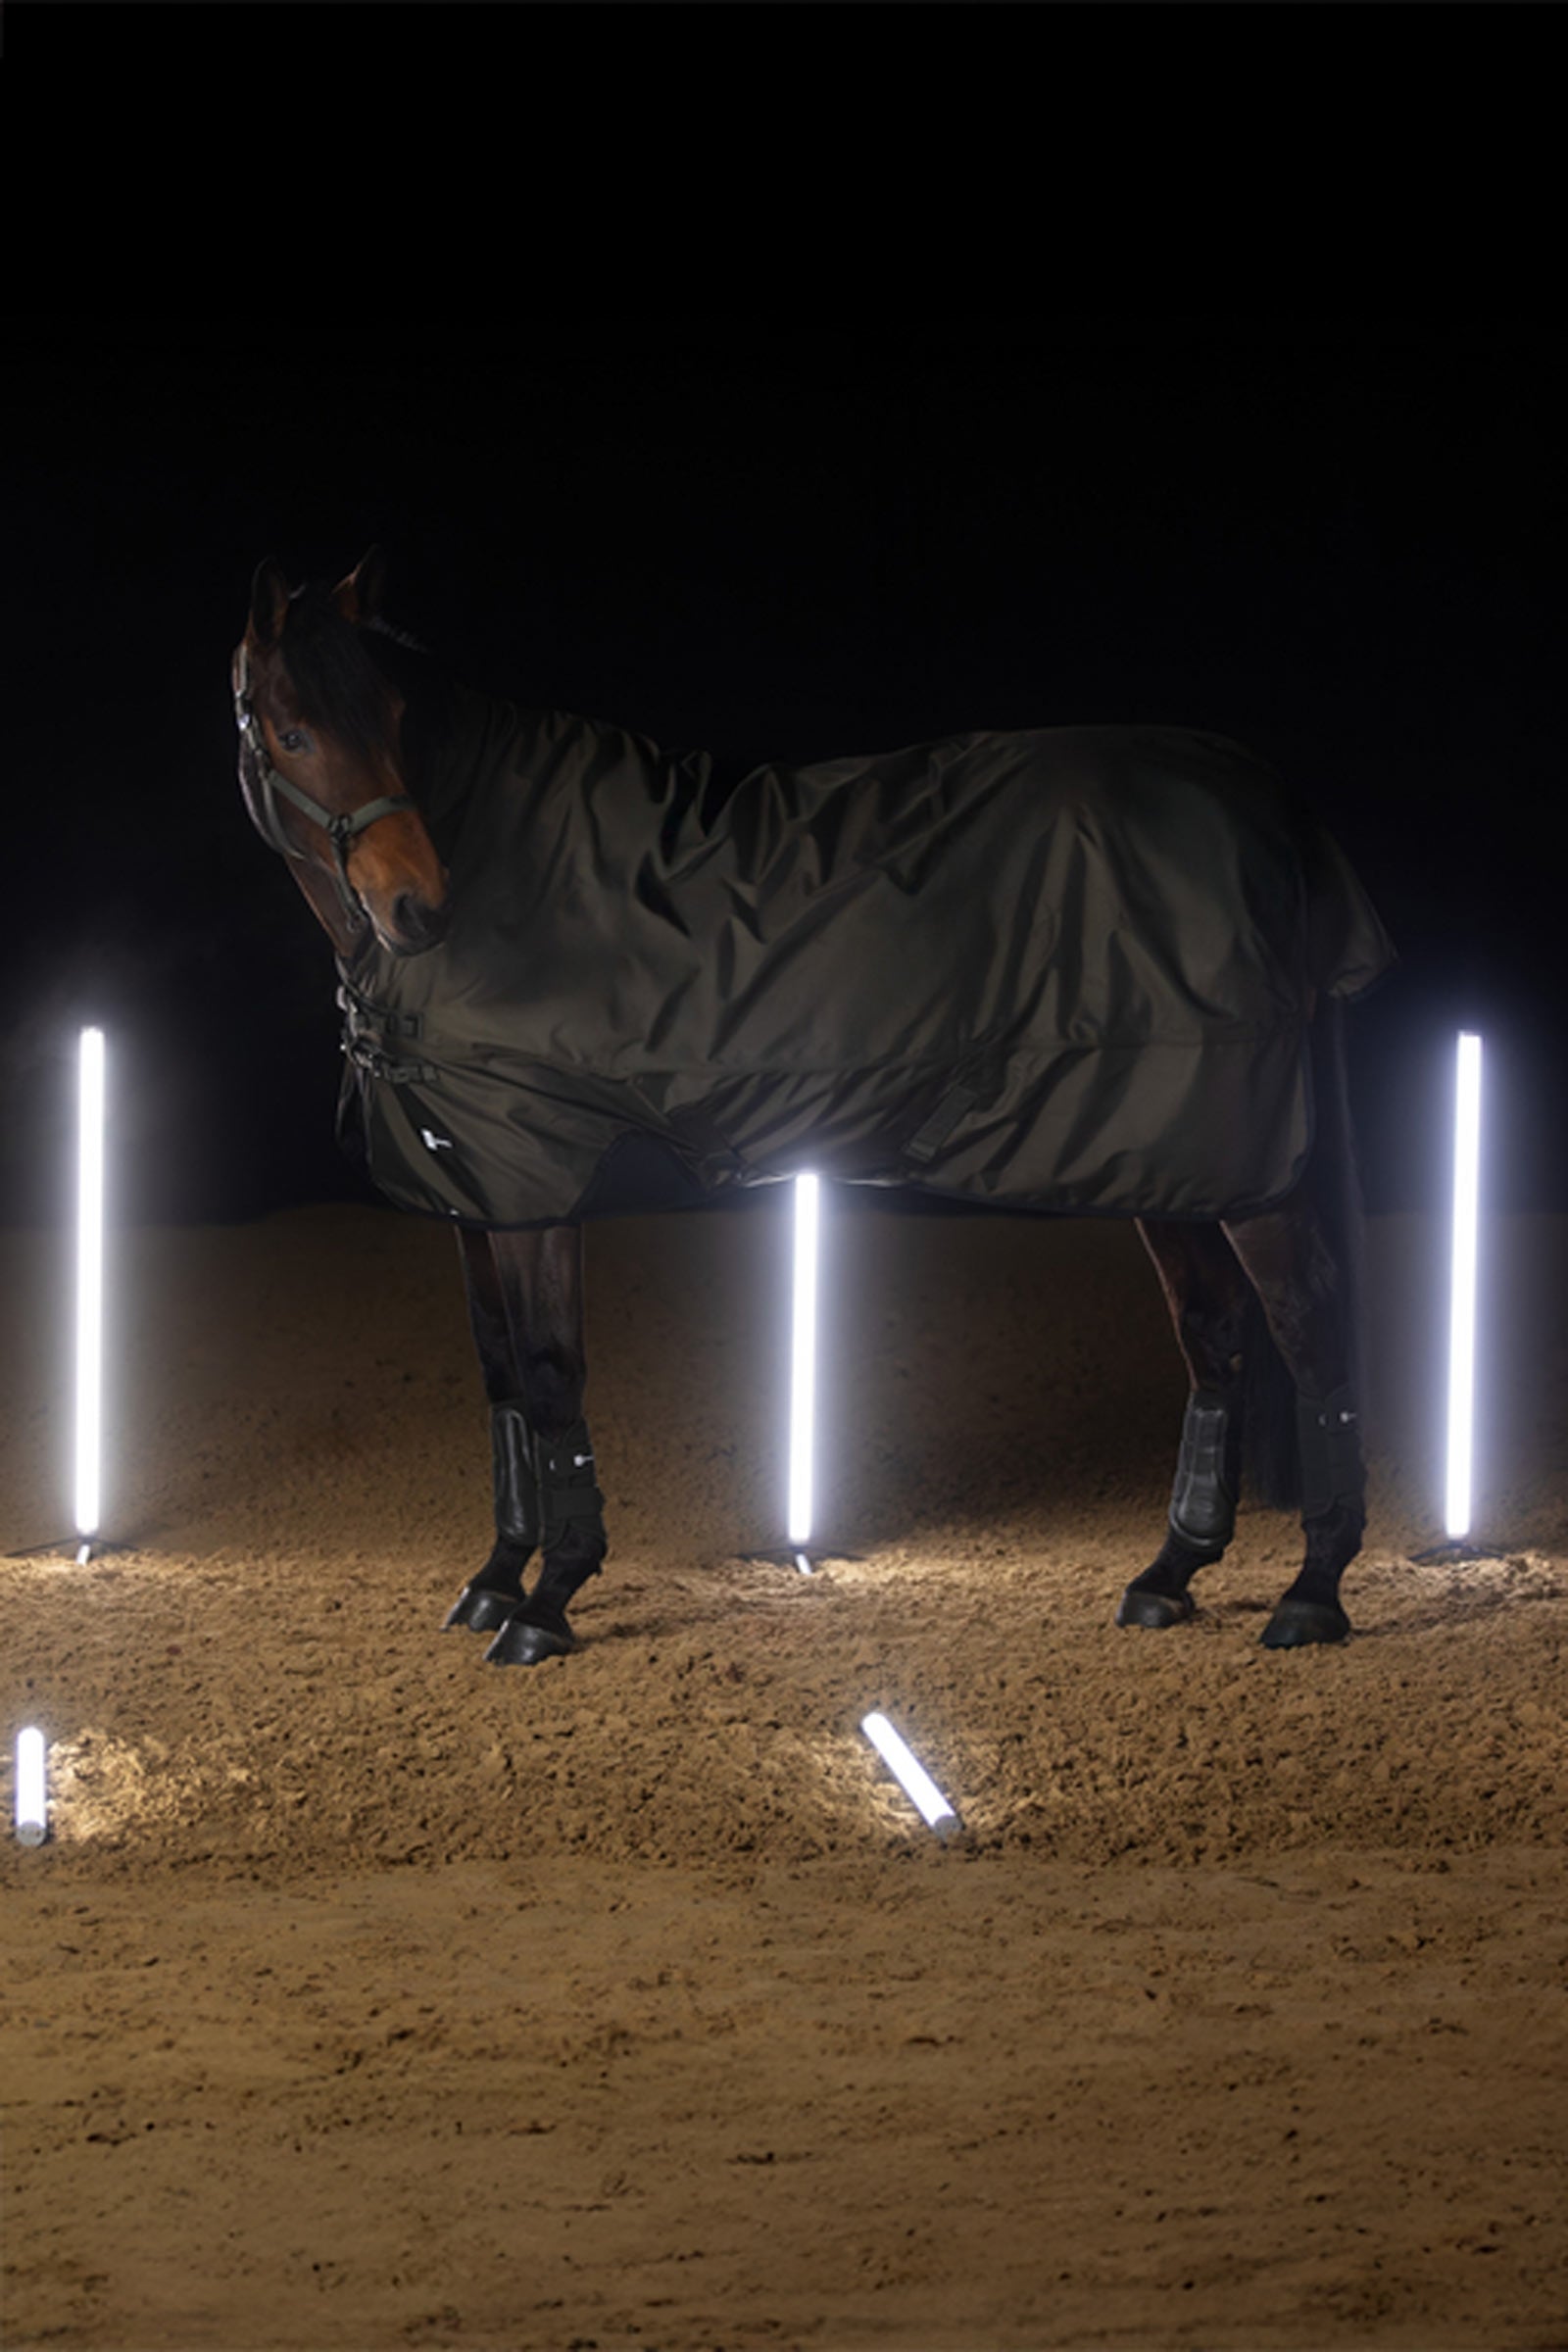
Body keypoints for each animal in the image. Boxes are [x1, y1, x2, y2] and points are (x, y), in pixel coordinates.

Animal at [232, 548, 1390, 1666]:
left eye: (393, 719)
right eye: (292, 733)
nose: (417, 906)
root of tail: (1264, 796)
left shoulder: (538, 1174)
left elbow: (554, 1376)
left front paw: (551, 1598)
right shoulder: (477, 1186)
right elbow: (501, 1379)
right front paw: (496, 1578)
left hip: (1238, 1162)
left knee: (1310, 1324)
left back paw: (1313, 1592)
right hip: (1162, 1151)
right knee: (1217, 1333)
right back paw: (1171, 1574)